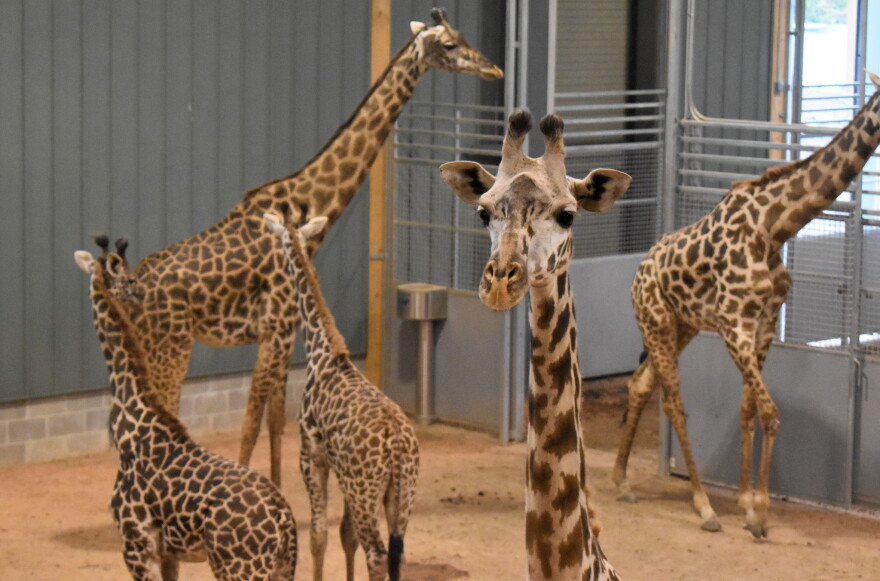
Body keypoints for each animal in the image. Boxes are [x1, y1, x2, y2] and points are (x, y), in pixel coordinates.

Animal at [75, 237, 298, 581]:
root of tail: (284, 520)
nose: (139, 292)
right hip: (281, 569)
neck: (129, 426)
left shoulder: (136, 545)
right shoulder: (169, 553)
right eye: (125, 273)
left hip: (239, 568)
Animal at [130, 8, 501, 485]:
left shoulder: (286, 331)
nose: (494, 69)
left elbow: (274, 421)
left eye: (464, 36)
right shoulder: (273, 329)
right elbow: (251, 421)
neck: (309, 200)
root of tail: (132, 284)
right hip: (171, 344)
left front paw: (275, 485)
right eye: (451, 45)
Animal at [262, 209, 419, 581]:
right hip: (401, 494)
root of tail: (398, 449)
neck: (324, 350)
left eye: (282, 238)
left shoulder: (312, 454)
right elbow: (345, 536)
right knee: (397, 553)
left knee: (376, 554)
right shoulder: (342, 470)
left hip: (366, 491)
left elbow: (318, 536)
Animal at [612, 73, 880, 538]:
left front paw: (744, 499)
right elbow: (770, 412)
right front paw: (759, 515)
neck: (774, 228)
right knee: (674, 404)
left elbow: (749, 407)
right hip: (657, 322)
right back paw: (703, 505)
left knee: (641, 383)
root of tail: (638, 274)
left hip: (681, 326)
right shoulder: (735, 324)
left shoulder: (764, 323)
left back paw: (622, 480)